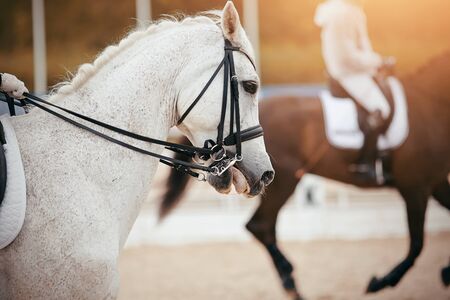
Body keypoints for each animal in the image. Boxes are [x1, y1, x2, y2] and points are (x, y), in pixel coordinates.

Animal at [158, 50, 450, 298]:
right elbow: (417, 244)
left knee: (261, 227)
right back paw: (291, 283)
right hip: (284, 179)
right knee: (260, 225)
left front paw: (445, 272)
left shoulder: (435, 183)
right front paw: (380, 282)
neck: (430, 104)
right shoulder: (415, 186)